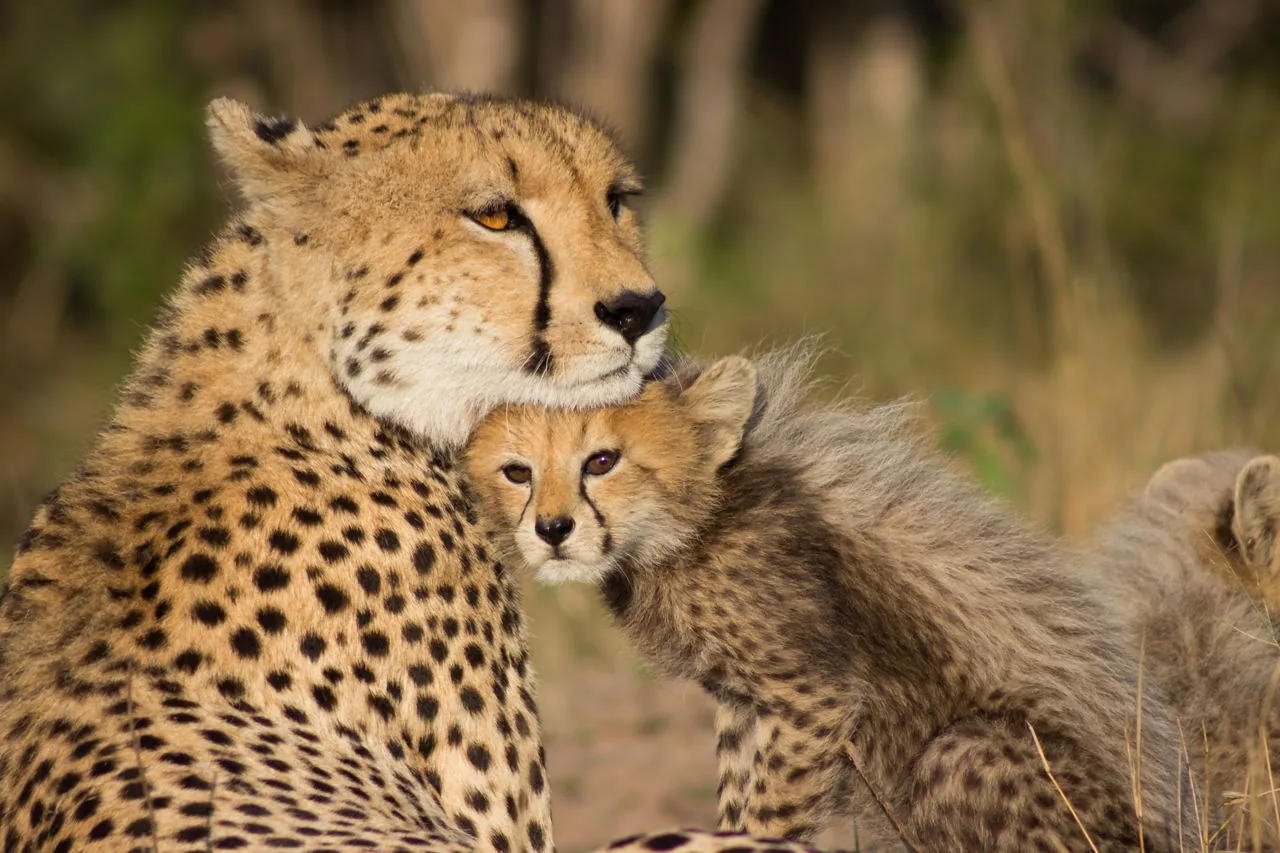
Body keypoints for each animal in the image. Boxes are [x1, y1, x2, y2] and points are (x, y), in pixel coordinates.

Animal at [464, 345, 1203, 853]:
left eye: (602, 461)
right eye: (517, 472)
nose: (552, 529)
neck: (694, 528)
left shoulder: (813, 691)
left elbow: (769, 808)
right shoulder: (744, 701)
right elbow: (739, 795)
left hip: (972, 751)